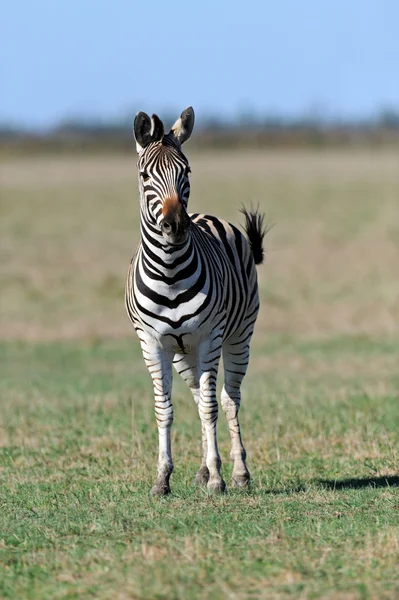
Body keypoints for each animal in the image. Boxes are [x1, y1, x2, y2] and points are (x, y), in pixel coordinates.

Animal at [125, 105, 266, 494]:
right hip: (182, 353)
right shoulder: (152, 343)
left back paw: (238, 473)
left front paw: (218, 478)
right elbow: (165, 409)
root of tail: (205, 214)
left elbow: (211, 408)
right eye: (145, 175)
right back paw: (202, 469)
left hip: (238, 337)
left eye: (185, 171)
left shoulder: (209, 337)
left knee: (228, 399)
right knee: (200, 395)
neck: (170, 272)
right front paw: (162, 478)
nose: (176, 225)